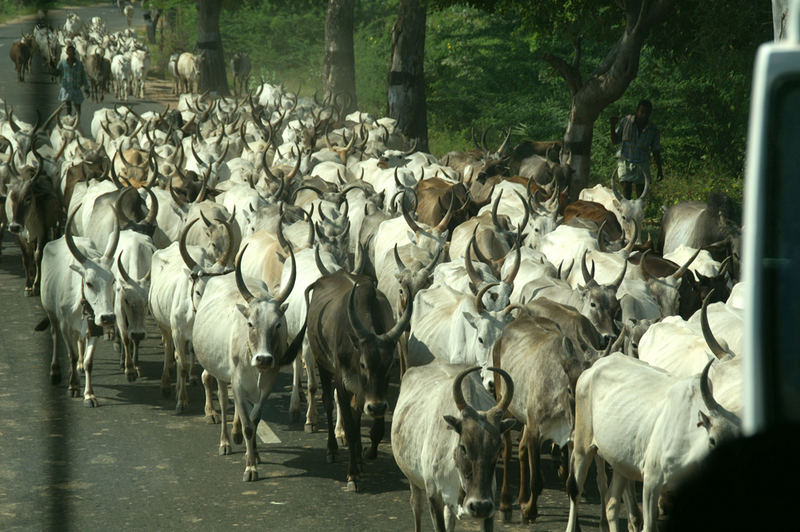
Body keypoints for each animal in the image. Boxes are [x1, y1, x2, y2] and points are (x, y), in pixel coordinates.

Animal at [36, 210, 119, 406]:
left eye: (113, 281)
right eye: (89, 283)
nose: (108, 317)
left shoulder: (95, 328)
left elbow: (89, 362)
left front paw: (89, 395)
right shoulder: (65, 327)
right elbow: (71, 356)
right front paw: (73, 386)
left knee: (80, 342)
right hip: (51, 312)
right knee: (54, 335)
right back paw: (55, 371)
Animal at [192, 244, 304, 482]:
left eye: (278, 324)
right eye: (250, 323)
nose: (264, 358)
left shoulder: (267, 384)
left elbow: (255, 419)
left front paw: (254, 455)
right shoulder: (237, 382)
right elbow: (247, 426)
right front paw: (250, 467)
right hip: (221, 374)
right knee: (223, 400)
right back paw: (226, 441)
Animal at [304, 270, 410, 490]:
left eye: (390, 365)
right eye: (363, 364)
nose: (376, 407)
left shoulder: (373, 395)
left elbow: (373, 426)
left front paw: (366, 454)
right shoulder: (342, 384)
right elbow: (351, 430)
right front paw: (352, 475)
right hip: (322, 365)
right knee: (328, 402)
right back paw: (332, 449)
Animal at [392, 366, 516, 532]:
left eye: (499, 448)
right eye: (463, 446)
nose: (479, 506)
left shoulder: (489, 504)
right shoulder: (434, 496)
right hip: (413, 478)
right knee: (416, 506)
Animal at [564, 356, 744, 532]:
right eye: (712, 440)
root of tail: (594, 367)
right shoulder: (651, 483)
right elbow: (649, 526)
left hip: (620, 463)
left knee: (611, 505)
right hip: (582, 448)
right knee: (576, 492)